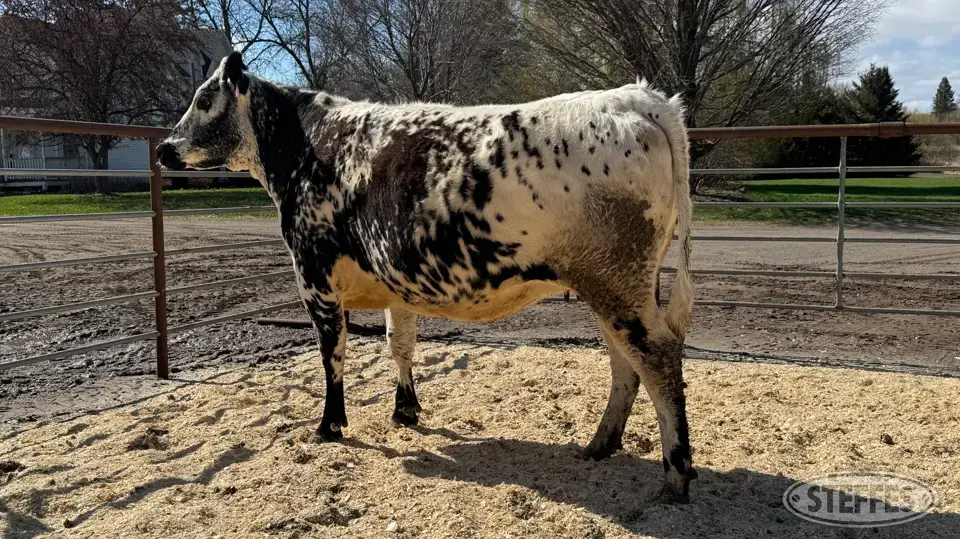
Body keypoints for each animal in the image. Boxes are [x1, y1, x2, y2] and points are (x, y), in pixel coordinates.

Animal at [157, 52, 696, 501]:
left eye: (203, 98)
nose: (163, 148)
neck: (307, 149)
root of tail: (639, 98)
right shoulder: (396, 282)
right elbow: (400, 344)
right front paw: (405, 410)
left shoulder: (314, 277)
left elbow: (333, 355)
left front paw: (330, 425)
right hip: (617, 284)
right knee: (625, 363)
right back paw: (600, 445)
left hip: (616, 280)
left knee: (658, 358)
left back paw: (675, 476)